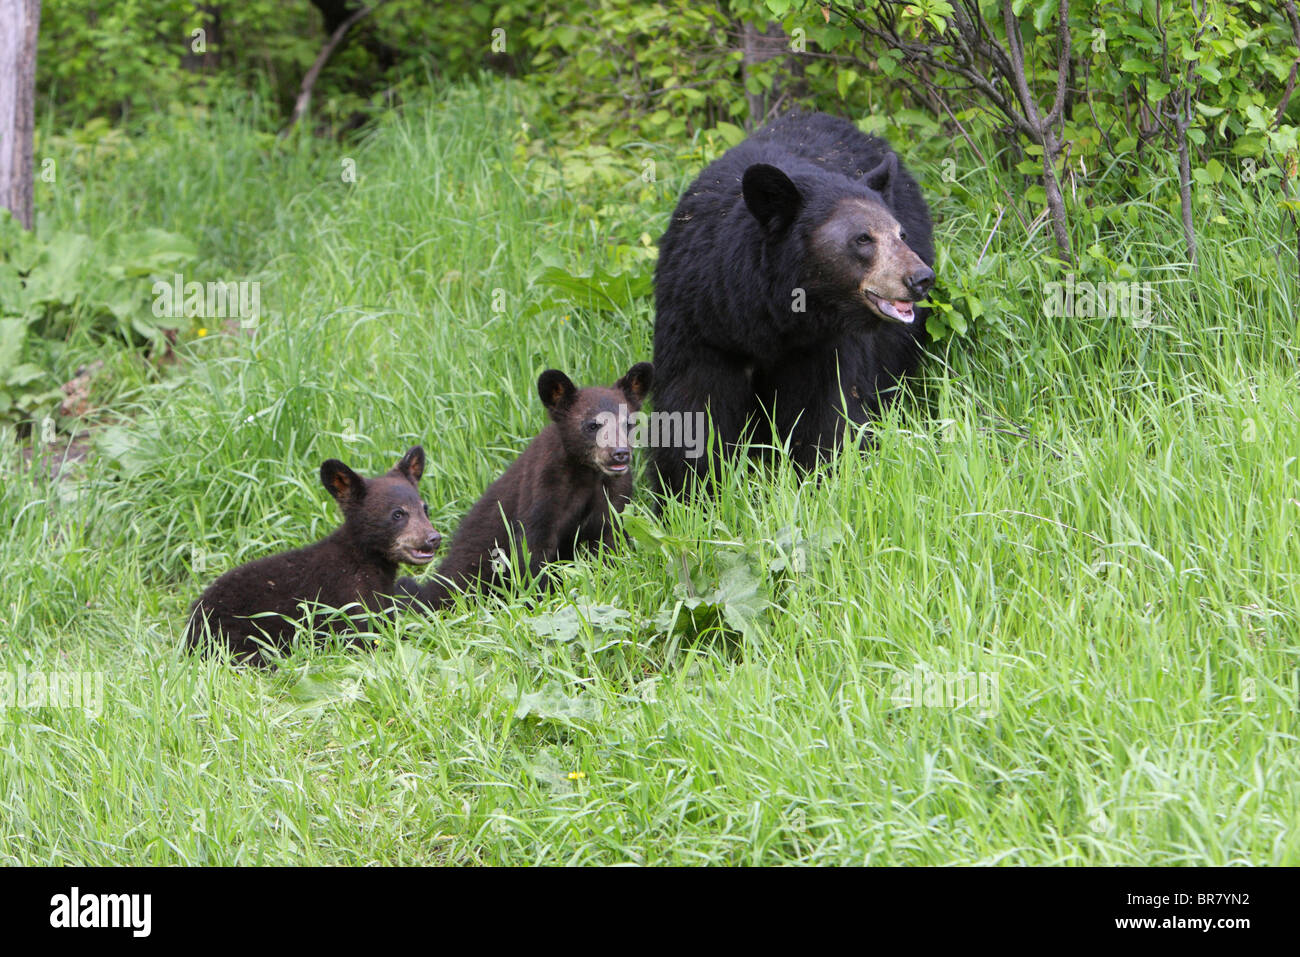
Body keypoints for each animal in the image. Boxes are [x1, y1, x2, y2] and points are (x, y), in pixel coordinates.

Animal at [185, 446, 441, 664]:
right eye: (397, 514)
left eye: (424, 508)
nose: (433, 538)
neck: (366, 561)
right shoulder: (346, 598)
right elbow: (361, 636)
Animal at [400, 363, 653, 608]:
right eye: (592, 425)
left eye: (629, 423)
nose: (619, 453)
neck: (588, 475)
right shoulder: (543, 491)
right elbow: (533, 550)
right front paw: (539, 599)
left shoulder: (615, 497)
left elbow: (610, 543)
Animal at [650, 111, 936, 496]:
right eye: (863, 238)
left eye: (899, 234)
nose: (920, 278)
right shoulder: (700, 322)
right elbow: (692, 407)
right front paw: (688, 493)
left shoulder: (825, 346)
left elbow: (826, 412)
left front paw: (822, 481)